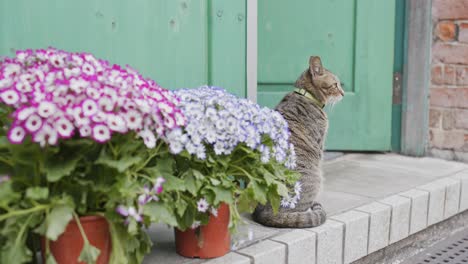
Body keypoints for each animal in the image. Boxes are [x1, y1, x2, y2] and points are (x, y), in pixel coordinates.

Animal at [252, 55, 344, 227]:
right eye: (335, 84)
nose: (343, 93)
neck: (305, 94)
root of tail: (264, 211)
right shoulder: (320, 145)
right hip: (316, 178)